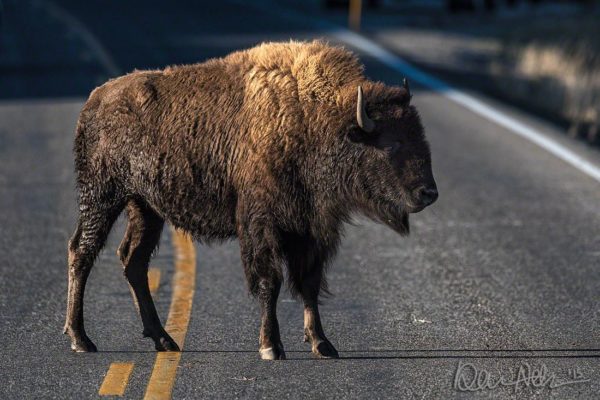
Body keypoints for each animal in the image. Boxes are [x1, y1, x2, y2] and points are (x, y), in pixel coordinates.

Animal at [64, 40, 436, 360]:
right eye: (392, 143)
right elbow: (270, 281)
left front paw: (322, 344)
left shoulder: (309, 230)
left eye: (420, 136)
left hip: (145, 208)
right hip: (102, 197)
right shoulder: (263, 225)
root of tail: (94, 100)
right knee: (82, 252)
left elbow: (309, 284)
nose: (428, 193)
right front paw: (271, 346)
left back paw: (163, 339)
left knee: (133, 261)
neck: (312, 116)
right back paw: (81, 339)